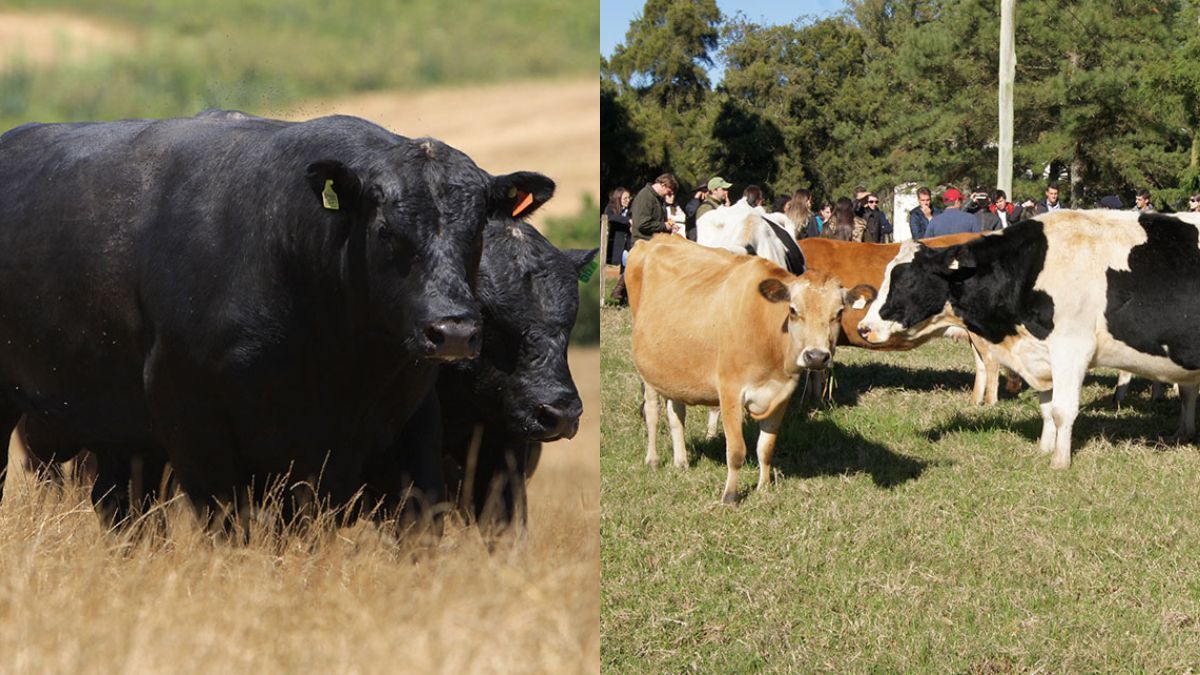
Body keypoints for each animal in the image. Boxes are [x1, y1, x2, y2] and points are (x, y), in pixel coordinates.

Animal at [627, 235, 865, 503]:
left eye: (839, 312)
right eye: (793, 310)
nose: (816, 356)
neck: (769, 335)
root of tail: (658, 238)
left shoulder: (781, 394)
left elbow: (766, 447)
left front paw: (764, 488)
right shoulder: (730, 390)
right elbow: (736, 450)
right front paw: (730, 496)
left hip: (674, 368)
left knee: (676, 412)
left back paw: (681, 461)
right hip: (647, 370)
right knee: (652, 411)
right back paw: (653, 459)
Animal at [857, 210, 1200, 469]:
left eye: (906, 280)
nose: (863, 327)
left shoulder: (1071, 348)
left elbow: (1063, 409)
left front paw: (1060, 462)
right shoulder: (1041, 354)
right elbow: (1047, 409)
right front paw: (1044, 449)